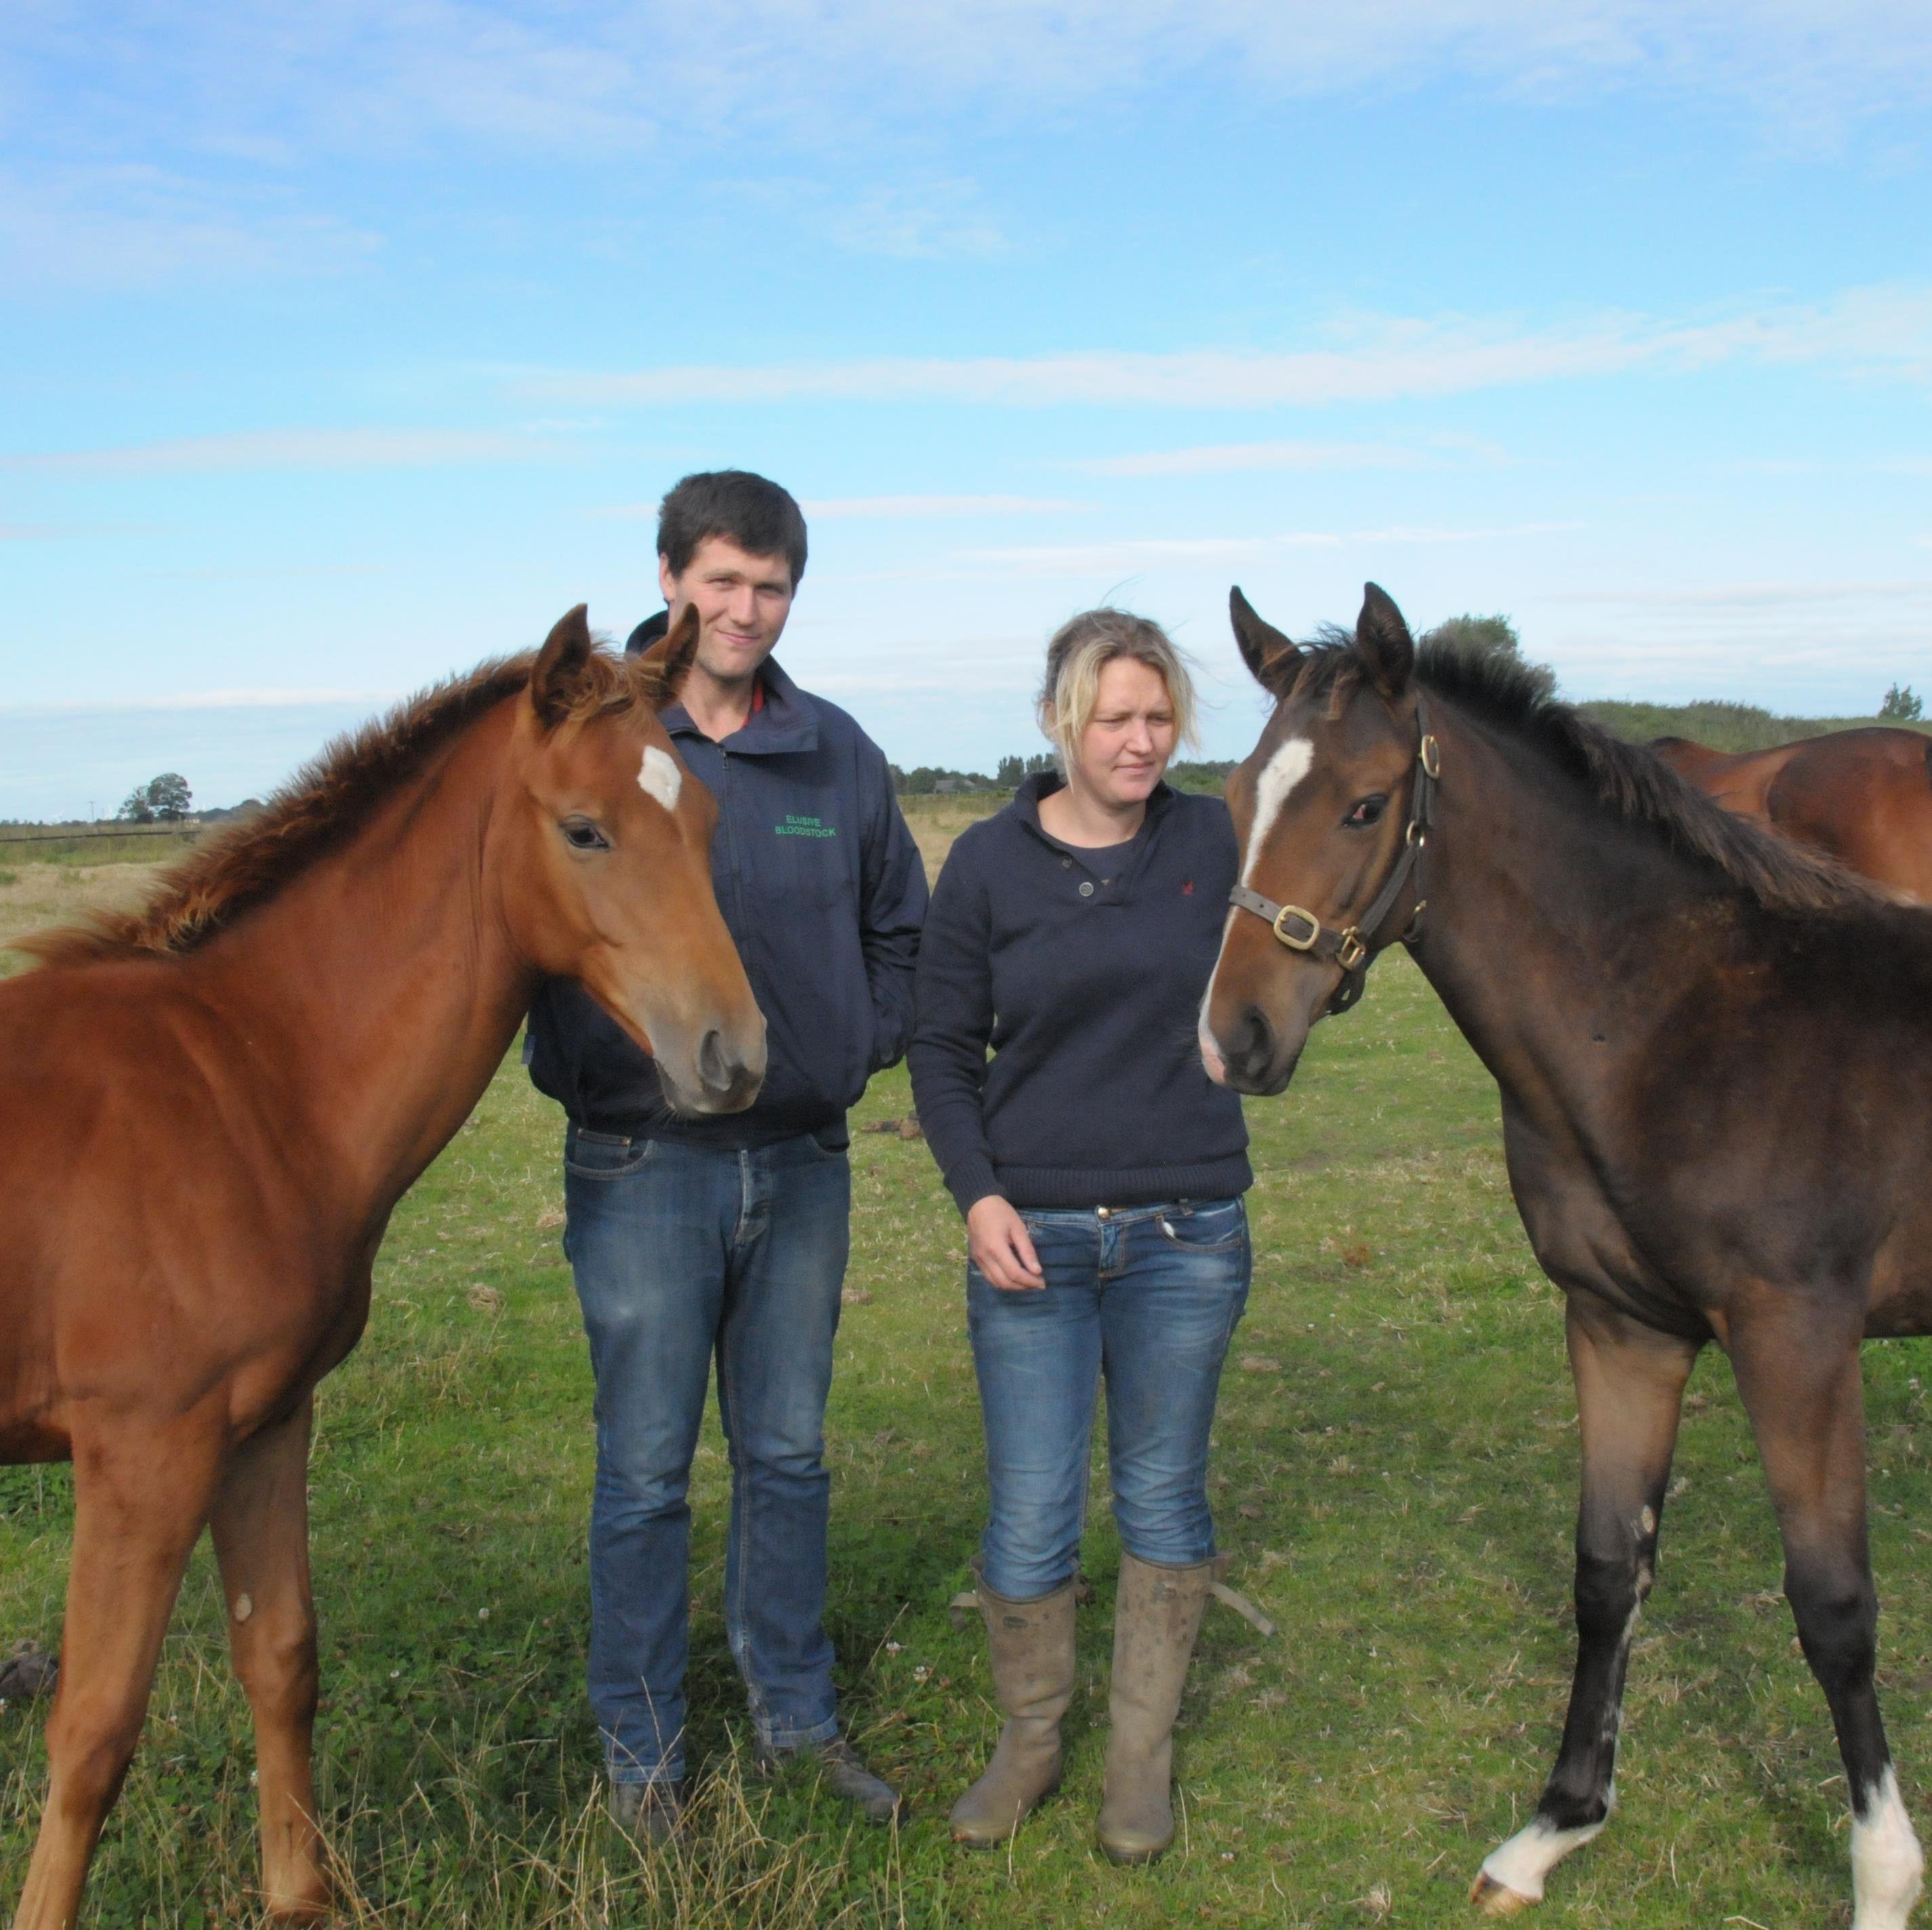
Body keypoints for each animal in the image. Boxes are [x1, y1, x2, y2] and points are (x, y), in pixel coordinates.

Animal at [0, 607, 764, 1930]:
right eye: (585, 828)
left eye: (709, 821)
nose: (734, 1055)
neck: (244, 1080)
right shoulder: (142, 1450)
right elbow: (93, 1727)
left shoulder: (261, 1425)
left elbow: (281, 1658)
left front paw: (299, 1896)